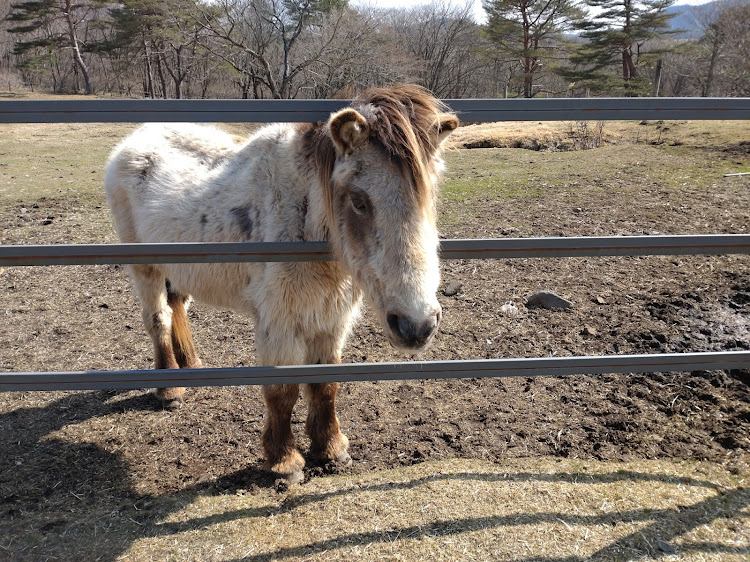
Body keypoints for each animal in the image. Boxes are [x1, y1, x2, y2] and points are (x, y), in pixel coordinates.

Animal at [104, 84, 458, 482]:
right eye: (358, 200)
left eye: (430, 195)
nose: (417, 326)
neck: (306, 221)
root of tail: (133, 141)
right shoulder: (279, 321)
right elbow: (282, 391)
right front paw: (283, 461)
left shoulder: (331, 318)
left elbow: (325, 384)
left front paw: (331, 449)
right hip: (145, 266)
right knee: (158, 318)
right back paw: (170, 389)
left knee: (177, 302)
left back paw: (191, 364)